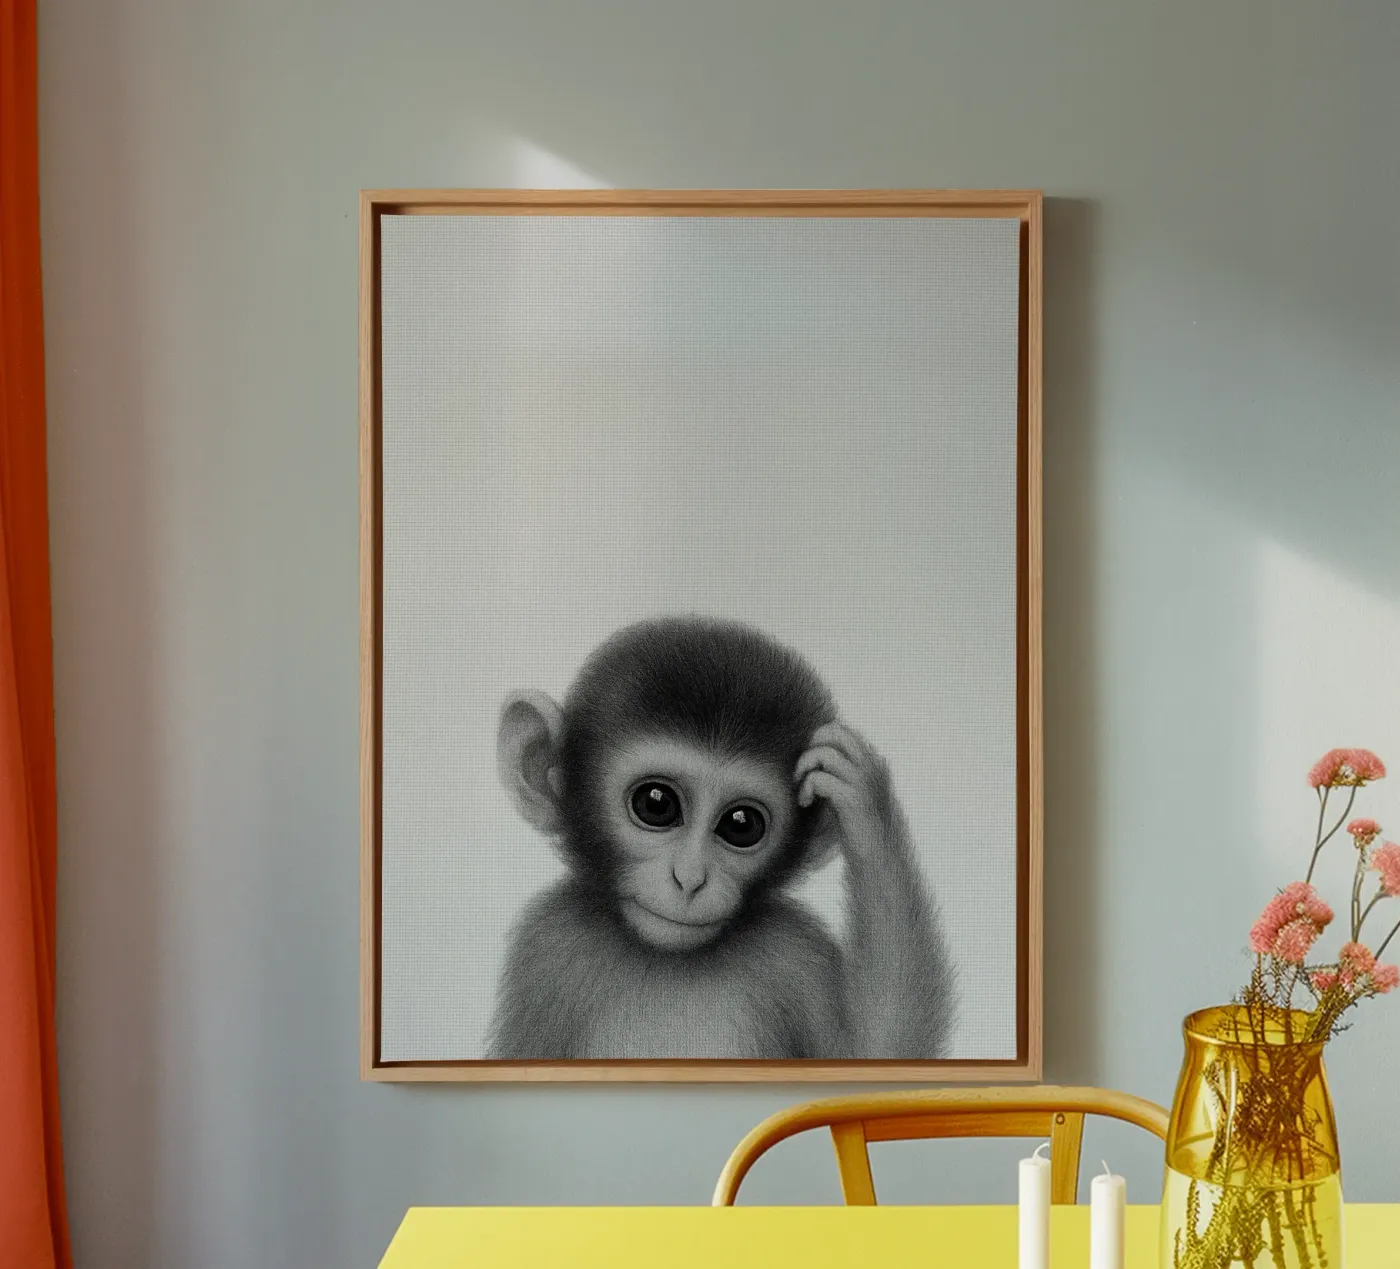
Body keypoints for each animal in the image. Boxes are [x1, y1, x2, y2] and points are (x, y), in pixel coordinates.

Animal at [486, 616, 956, 1060]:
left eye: (741, 825)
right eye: (656, 803)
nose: (690, 879)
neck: (669, 960)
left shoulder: (795, 948)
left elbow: (875, 1049)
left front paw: (863, 799)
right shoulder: (547, 946)